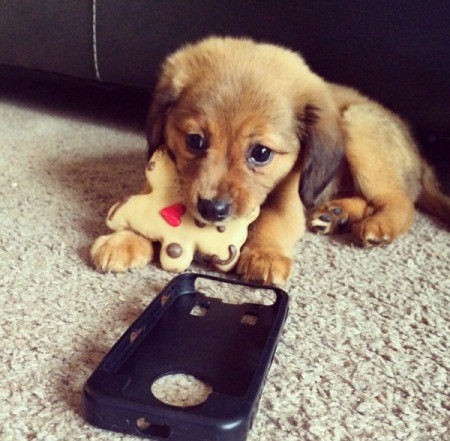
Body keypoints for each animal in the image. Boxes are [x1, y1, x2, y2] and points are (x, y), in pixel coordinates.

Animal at [92, 36, 450, 284]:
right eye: (195, 141)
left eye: (261, 153)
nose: (212, 210)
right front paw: (126, 240)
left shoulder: (291, 193)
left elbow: (272, 219)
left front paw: (264, 254)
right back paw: (336, 214)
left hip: (359, 126)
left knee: (401, 203)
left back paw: (378, 224)